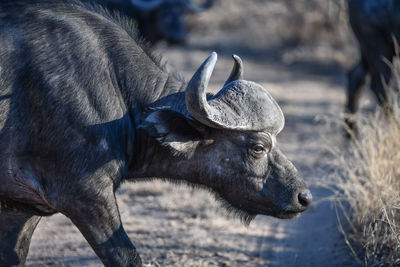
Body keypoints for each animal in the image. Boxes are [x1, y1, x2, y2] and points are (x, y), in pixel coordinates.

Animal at [0, 1, 312, 266]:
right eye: (258, 146)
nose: (304, 197)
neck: (119, 93)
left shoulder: (21, 207)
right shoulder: (85, 194)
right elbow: (127, 257)